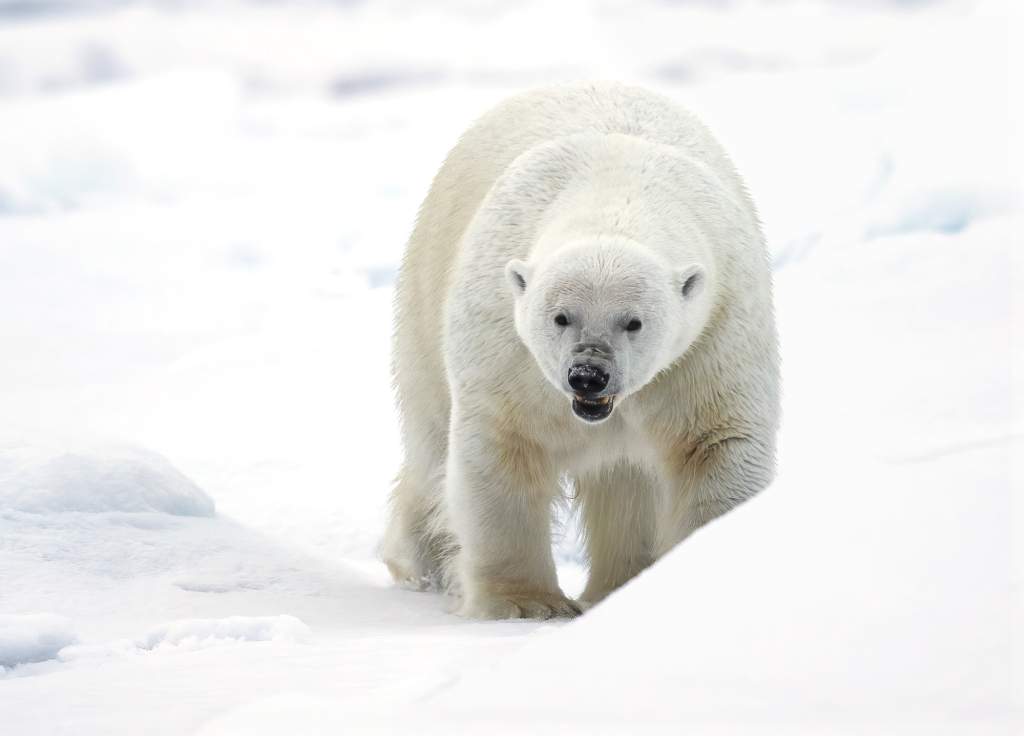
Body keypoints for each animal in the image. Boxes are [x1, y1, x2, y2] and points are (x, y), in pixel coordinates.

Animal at [380, 81, 778, 622]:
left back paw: (619, 585)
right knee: (430, 440)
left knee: (626, 483)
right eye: (560, 317)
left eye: (634, 321)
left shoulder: (713, 335)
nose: (588, 374)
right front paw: (528, 605)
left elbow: (714, 443)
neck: (617, 189)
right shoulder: (505, 343)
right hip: (425, 295)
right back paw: (424, 561)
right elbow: (504, 445)